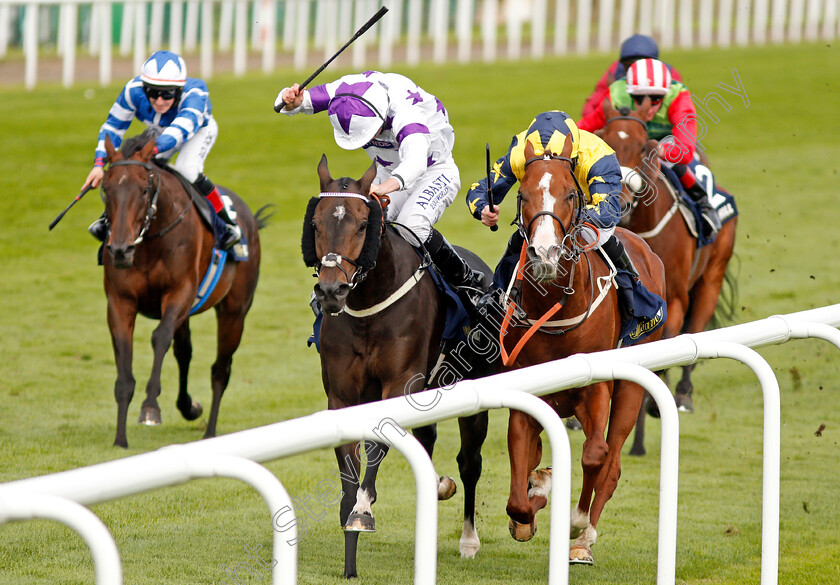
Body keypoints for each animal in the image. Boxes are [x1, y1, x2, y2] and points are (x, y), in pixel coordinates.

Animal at [99, 129, 268, 448]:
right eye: (105, 188)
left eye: (144, 189)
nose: (120, 250)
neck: (150, 241)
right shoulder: (120, 301)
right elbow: (125, 363)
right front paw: (120, 439)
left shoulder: (180, 292)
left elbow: (159, 337)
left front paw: (150, 407)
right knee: (185, 353)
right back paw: (188, 407)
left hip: (234, 311)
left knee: (220, 369)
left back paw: (210, 431)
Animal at [302, 153, 496, 576]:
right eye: (316, 223)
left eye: (362, 223)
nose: (331, 290)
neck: (368, 308)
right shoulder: (341, 395)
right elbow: (348, 465)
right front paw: (350, 545)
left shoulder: (399, 383)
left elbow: (376, 448)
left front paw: (362, 511)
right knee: (427, 442)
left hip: (474, 393)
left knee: (470, 462)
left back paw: (469, 540)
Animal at [498, 139, 668, 564]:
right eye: (523, 195)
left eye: (570, 195)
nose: (543, 253)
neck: (556, 309)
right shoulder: (528, 392)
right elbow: (519, 483)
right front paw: (533, 499)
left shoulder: (596, 388)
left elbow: (596, 454)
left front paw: (575, 520)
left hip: (631, 388)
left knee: (613, 461)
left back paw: (582, 540)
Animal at [600, 102, 740, 454]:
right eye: (605, 142)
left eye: (643, 147)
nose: (620, 202)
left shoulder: (673, 301)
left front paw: (648, 411)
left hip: (711, 279)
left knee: (695, 330)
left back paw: (682, 395)